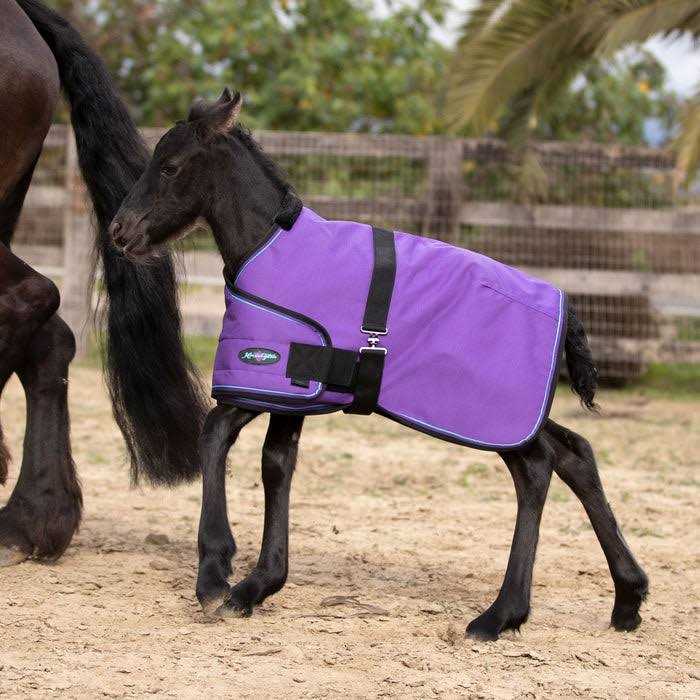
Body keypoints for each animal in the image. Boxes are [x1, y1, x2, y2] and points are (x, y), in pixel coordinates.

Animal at [109, 88, 649, 641]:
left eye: (170, 166)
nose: (119, 232)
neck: (272, 247)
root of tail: (566, 308)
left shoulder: (269, 375)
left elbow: (215, 434)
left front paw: (217, 577)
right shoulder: (296, 393)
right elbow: (276, 464)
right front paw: (258, 584)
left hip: (495, 420)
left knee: (537, 467)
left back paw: (500, 615)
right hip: (522, 417)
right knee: (574, 452)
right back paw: (627, 598)